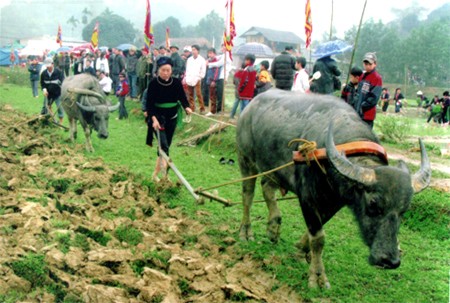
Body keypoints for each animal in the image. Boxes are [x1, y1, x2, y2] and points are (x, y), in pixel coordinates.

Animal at [234, 89, 430, 288]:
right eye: (373, 203)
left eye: (404, 210)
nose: (389, 260)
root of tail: (250, 106)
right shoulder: (307, 198)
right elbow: (318, 237)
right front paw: (318, 277)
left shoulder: (335, 202)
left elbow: (315, 231)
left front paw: (300, 251)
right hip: (245, 159)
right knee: (248, 196)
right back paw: (246, 232)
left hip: (273, 169)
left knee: (266, 188)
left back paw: (273, 228)